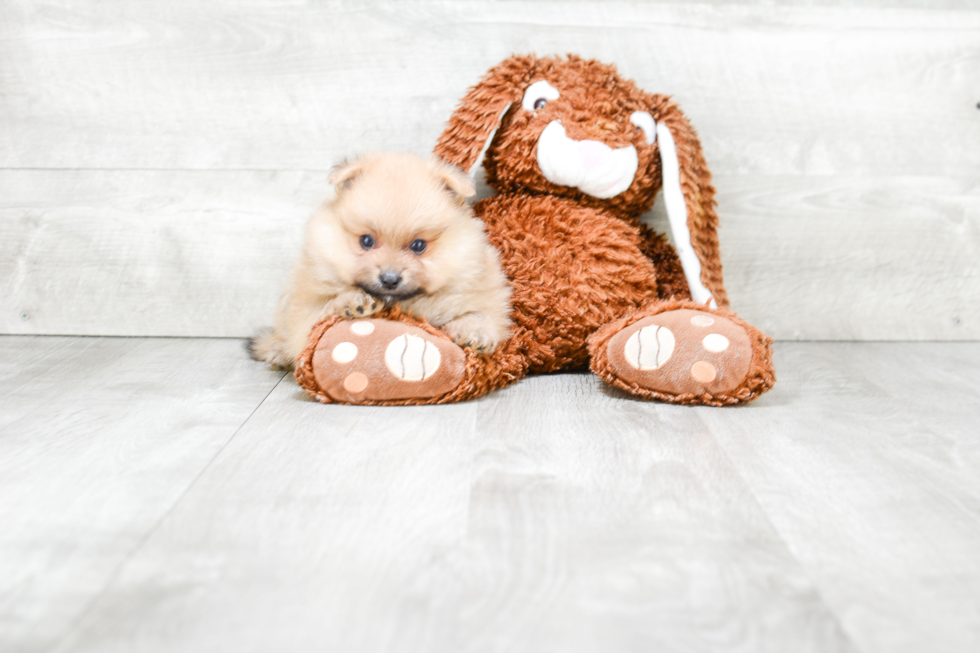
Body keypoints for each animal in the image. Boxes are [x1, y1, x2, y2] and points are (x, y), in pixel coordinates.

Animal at [249, 151, 512, 370]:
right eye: (366, 241)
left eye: (418, 246)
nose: (390, 279)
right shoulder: (304, 314)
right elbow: (321, 313)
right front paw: (353, 300)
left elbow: (480, 314)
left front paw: (475, 333)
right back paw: (276, 351)